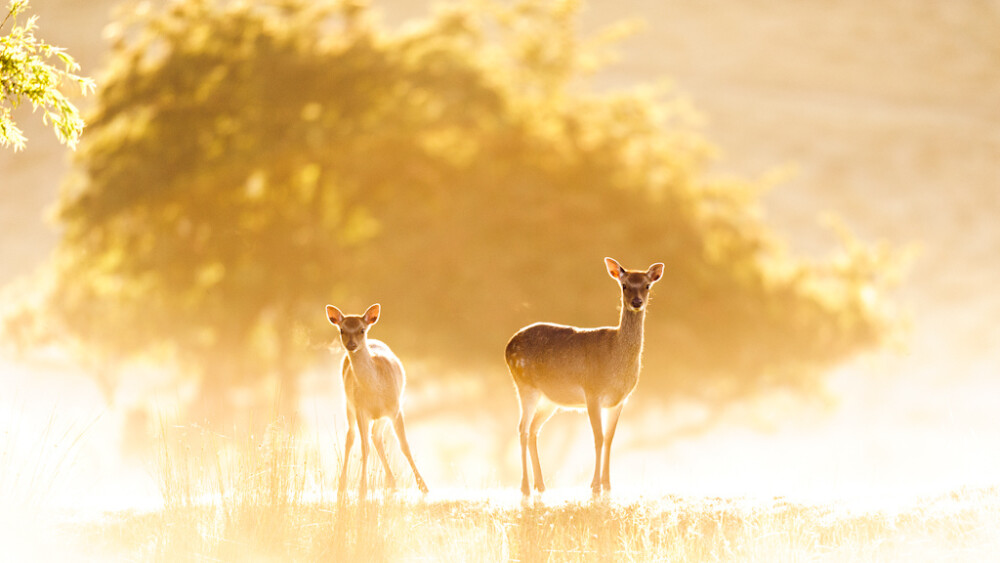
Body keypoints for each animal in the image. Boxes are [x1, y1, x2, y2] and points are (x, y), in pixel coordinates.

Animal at [324, 304, 426, 498]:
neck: (375, 390)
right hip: (349, 404)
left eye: (362, 330)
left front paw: (423, 486)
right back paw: (342, 486)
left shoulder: (395, 408)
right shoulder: (360, 409)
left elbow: (404, 445)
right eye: (342, 330)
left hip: (382, 416)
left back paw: (392, 482)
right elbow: (364, 447)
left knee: (376, 436)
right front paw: (362, 489)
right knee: (352, 437)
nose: (351, 345)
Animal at [508, 258, 664, 496]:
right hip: (525, 386)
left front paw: (608, 484)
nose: (636, 302)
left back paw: (541, 485)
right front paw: (595, 485)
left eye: (647, 285)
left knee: (534, 428)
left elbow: (609, 438)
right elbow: (598, 438)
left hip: (549, 400)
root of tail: (507, 348)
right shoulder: (592, 392)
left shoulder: (620, 400)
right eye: (624, 285)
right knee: (522, 429)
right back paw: (525, 486)